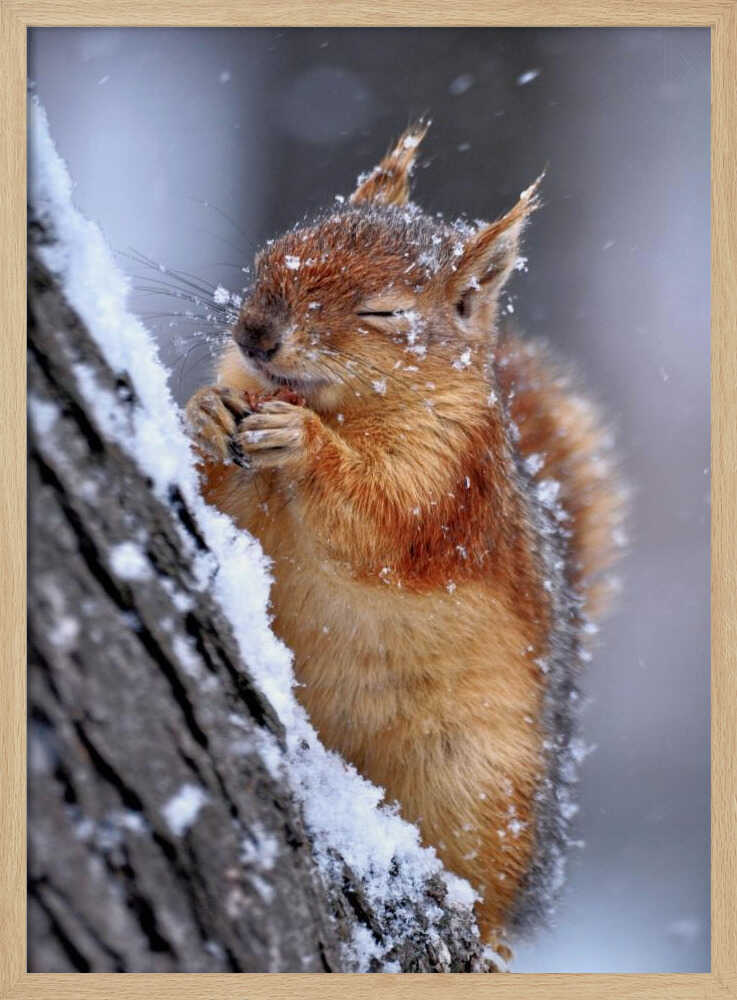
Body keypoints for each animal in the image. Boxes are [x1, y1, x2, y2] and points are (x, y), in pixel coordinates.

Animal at [185, 121, 624, 948]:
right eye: (276, 249)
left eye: (383, 315)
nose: (255, 334)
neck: (340, 407)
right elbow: (216, 490)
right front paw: (206, 410)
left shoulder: (448, 485)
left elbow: (380, 518)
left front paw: (306, 445)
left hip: (473, 781)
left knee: (484, 890)